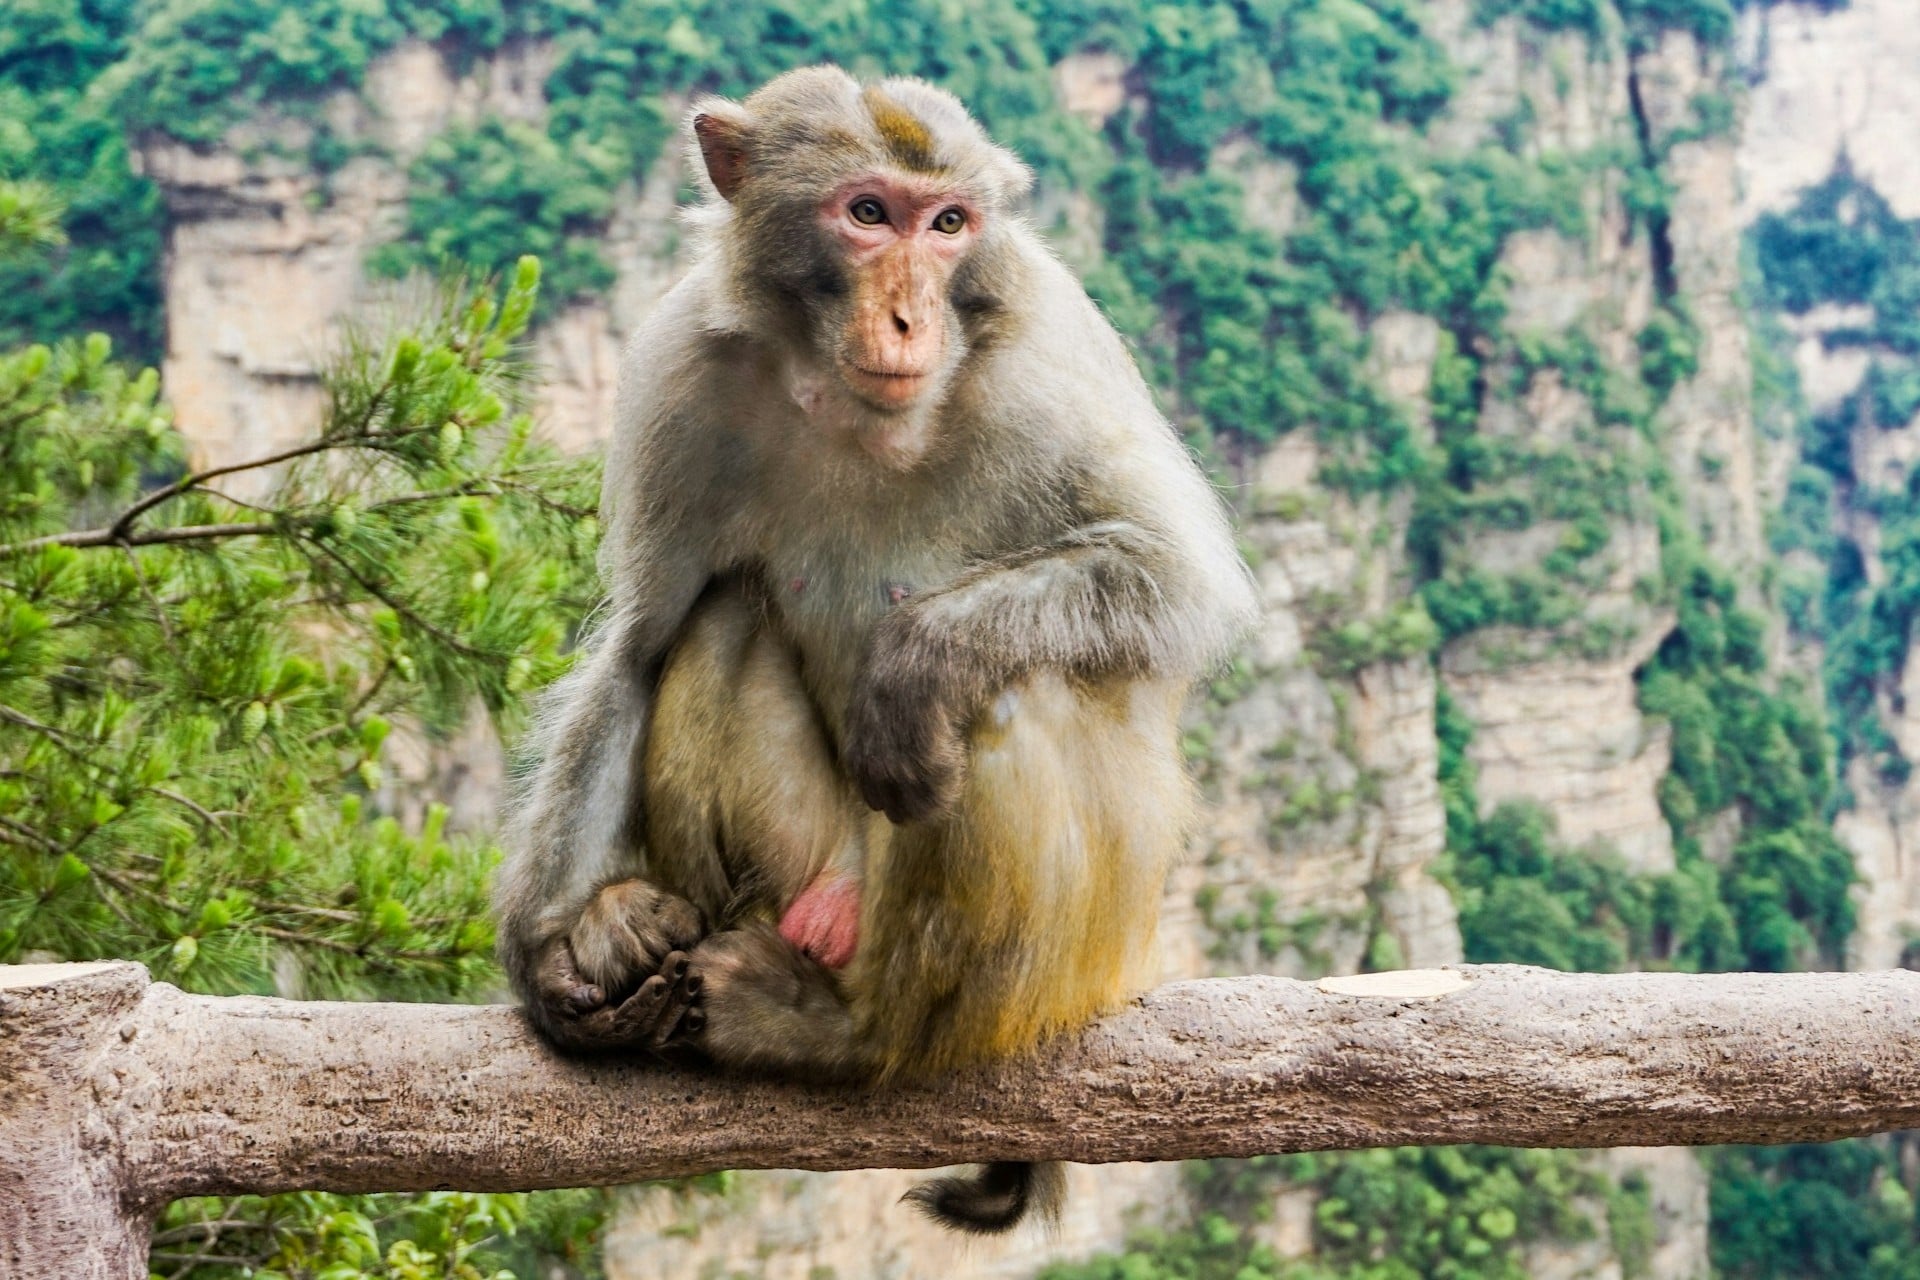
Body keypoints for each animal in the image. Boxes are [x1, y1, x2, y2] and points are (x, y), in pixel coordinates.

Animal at [493, 65, 1258, 1233]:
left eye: (948, 225)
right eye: (867, 213)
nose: (908, 316)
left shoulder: (1048, 353)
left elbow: (1181, 582)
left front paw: (915, 656)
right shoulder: (684, 369)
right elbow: (642, 643)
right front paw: (551, 960)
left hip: (1066, 959)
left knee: (1003, 690)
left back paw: (846, 1035)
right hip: (811, 879)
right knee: (725, 616)